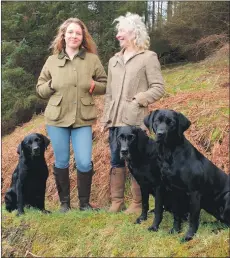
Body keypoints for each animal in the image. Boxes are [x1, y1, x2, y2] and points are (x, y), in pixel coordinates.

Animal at [145, 110, 229, 241]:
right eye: (156, 121)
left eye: (171, 123)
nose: (160, 134)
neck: (169, 154)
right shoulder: (173, 190)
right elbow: (175, 214)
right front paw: (175, 230)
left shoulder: (194, 192)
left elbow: (193, 218)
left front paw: (189, 236)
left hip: (227, 197)